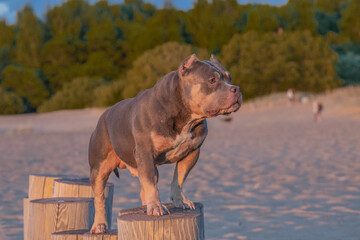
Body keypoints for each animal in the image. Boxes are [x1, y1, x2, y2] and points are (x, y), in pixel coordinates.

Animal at [88, 54, 243, 232]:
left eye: (229, 78)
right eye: (212, 80)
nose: (237, 89)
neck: (184, 114)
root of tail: (103, 116)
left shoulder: (192, 153)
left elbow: (178, 179)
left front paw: (179, 200)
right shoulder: (145, 153)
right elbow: (150, 183)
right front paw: (156, 207)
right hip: (99, 168)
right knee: (99, 197)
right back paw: (100, 224)